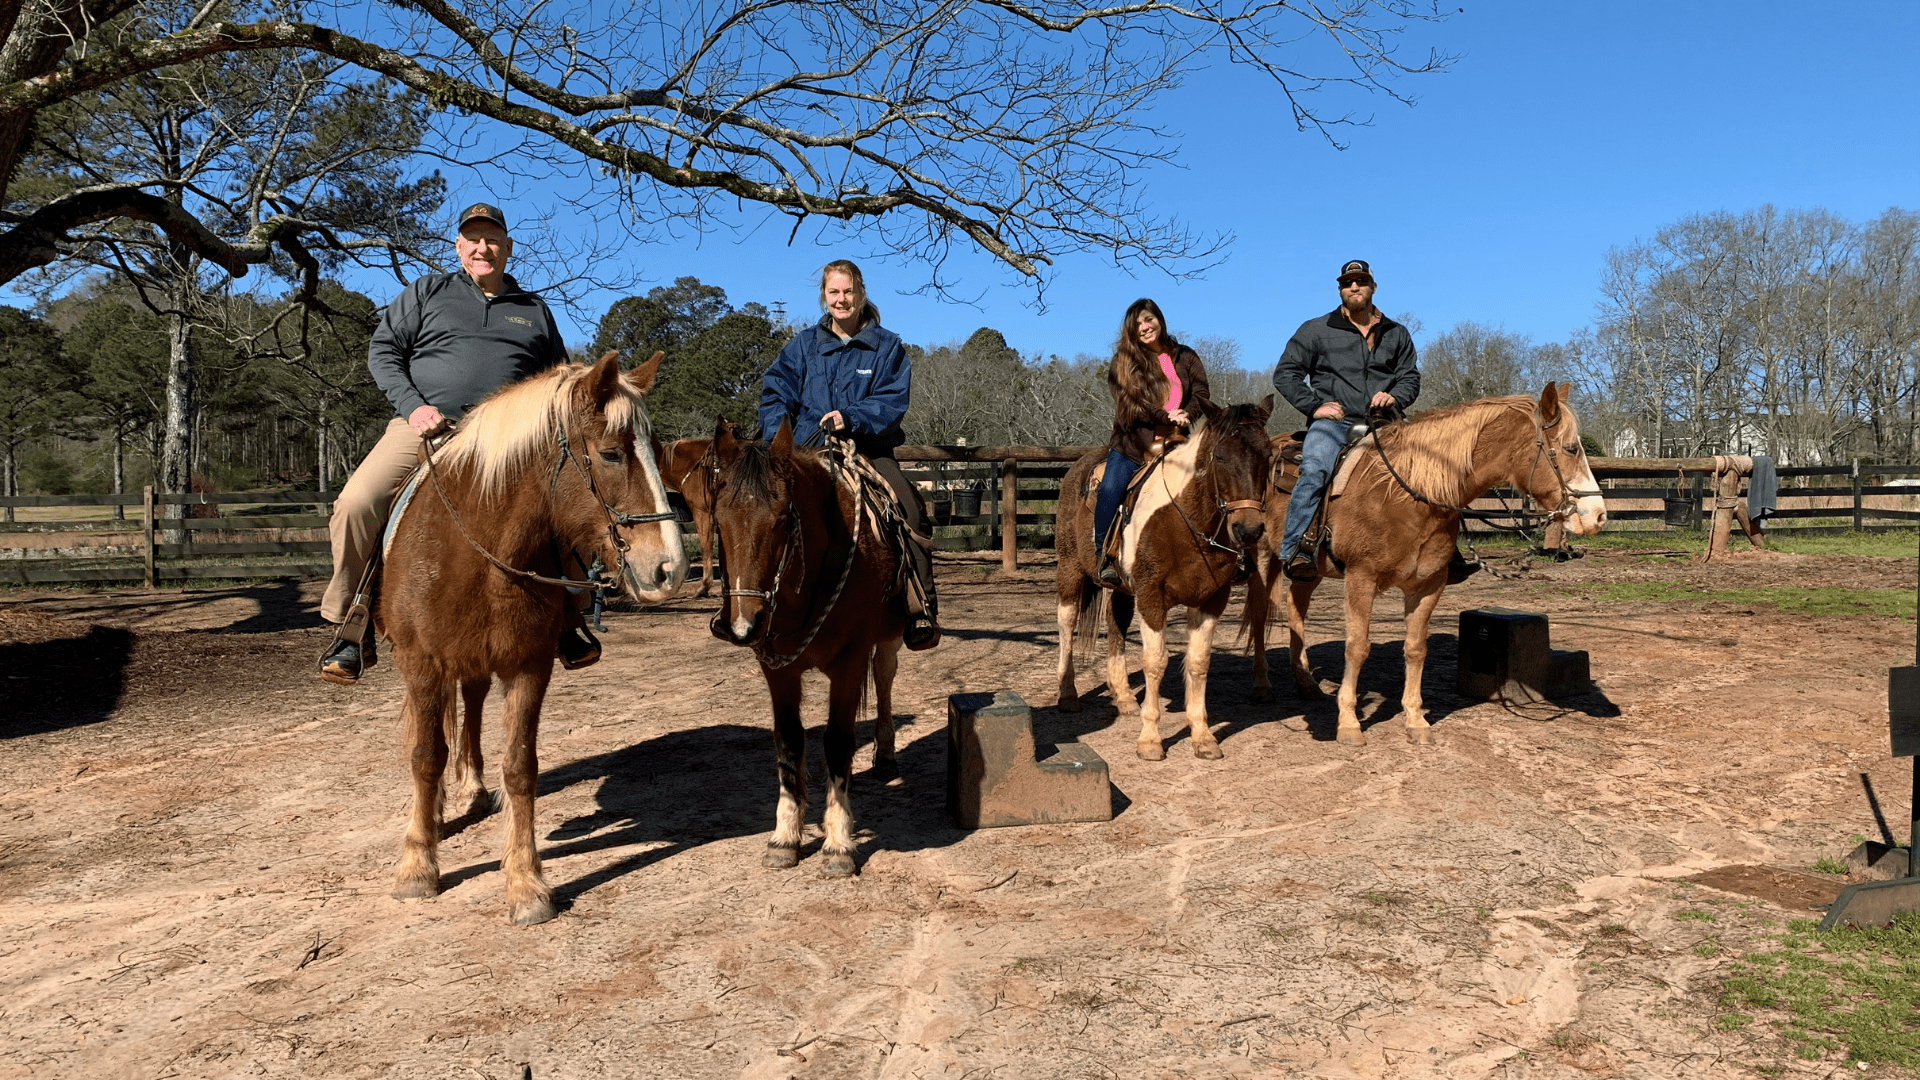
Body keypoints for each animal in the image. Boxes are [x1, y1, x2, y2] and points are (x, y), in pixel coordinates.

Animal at [374, 349, 683, 922]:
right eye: (611, 454)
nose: (670, 569)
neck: (478, 549)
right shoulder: (422, 664)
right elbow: (425, 757)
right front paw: (417, 866)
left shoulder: (528, 665)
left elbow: (519, 767)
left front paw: (525, 883)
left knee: (471, 706)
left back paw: (472, 788)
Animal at [1059, 395, 1267, 757]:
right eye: (1221, 456)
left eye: (1267, 455)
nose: (1248, 530)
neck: (1185, 520)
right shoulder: (1152, 596)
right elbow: (1155, 662)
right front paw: (1150, 740)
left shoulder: (1212, 599)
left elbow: (1198, 662)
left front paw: (1202, 736)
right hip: (1070, 569)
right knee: (1066, 624)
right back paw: (1067, 694)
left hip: (1122, 588)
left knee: (1116, 623)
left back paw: (1124, 698)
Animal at [1251, 382, 1612, 745]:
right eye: (1570, 448)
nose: (1598, 516)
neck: (1405, 494)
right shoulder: (1360, 578)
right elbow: (1357, 647)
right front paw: (1349, 724)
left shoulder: (1428, 585)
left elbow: (1415, 649)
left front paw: (1415, 720)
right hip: (1263, 559)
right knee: (1259, 617)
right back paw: (1263, 686)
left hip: (1310, 572)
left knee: (1295, 607)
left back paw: (1306, 683)